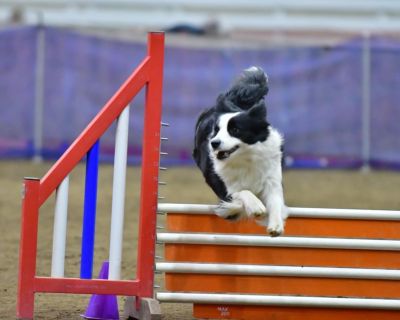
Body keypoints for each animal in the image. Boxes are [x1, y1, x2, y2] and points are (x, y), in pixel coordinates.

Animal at [192, 66, 286, 236]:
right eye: (216, 130)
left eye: (235, 130)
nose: (214, 143)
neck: (246, 158)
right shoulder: (224, 186)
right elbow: (241, 193)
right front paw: (256, 207)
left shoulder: (271, 179)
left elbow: (276, 201)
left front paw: (276, 225)